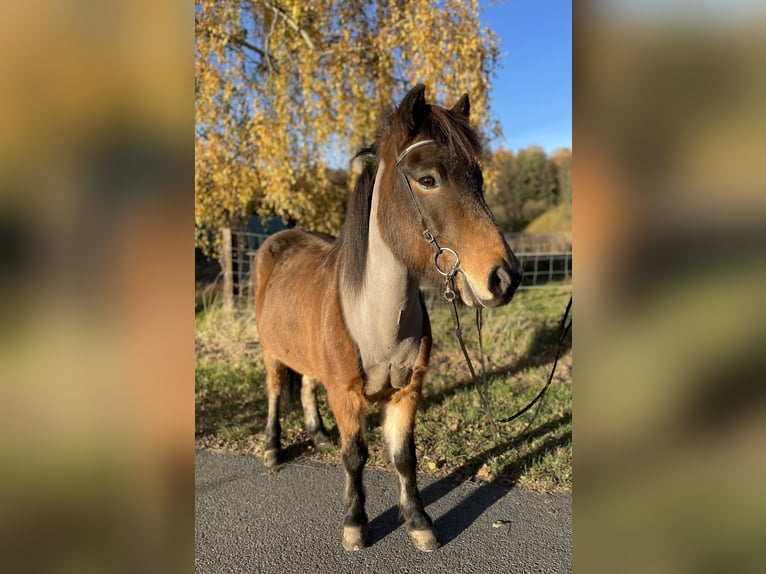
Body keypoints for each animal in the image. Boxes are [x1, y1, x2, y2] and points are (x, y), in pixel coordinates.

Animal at [252, 84, 522, 552]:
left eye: (479, 179)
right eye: (428, 179)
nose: (504, 278)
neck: (377, 320)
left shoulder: (407, 393)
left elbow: (403, 456)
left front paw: (418, 522)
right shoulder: (346, 395)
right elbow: (355, 456)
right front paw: (355, 524)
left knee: (305, 384)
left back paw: (318, 433)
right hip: (270, 351)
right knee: (273, 392)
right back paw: (272, 447)